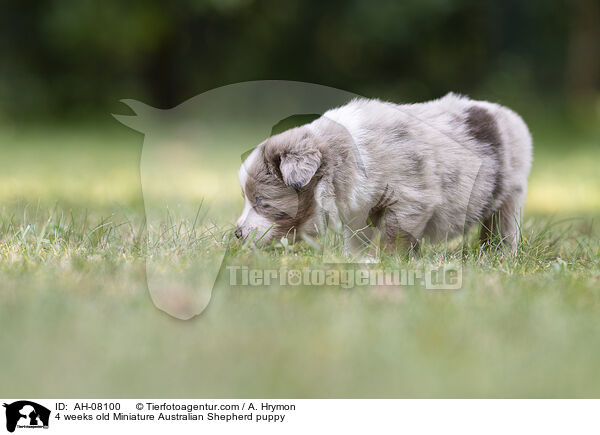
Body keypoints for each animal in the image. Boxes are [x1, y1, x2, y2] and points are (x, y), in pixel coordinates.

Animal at [237, 93, 532, 254]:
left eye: (261, 202)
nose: (236, 234)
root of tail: (512, 116)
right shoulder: (356, 210)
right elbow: (358, 240)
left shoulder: (410, 198)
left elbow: (395, 235)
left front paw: (389, 262)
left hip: (511, 193)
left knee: (503, 227)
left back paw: (498, 254)